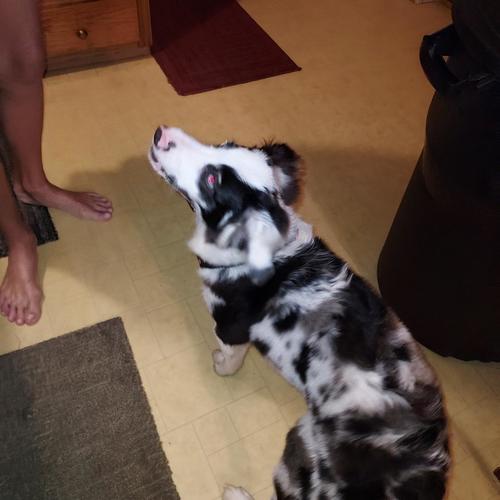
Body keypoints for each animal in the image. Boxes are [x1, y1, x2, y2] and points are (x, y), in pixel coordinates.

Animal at [148, 127, 450, 500]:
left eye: (212, 179)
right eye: (224, 144)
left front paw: (220, 365)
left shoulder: (231, 326)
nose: (162, 133)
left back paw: (236, 493)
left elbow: (230, 358)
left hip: (301, 447)